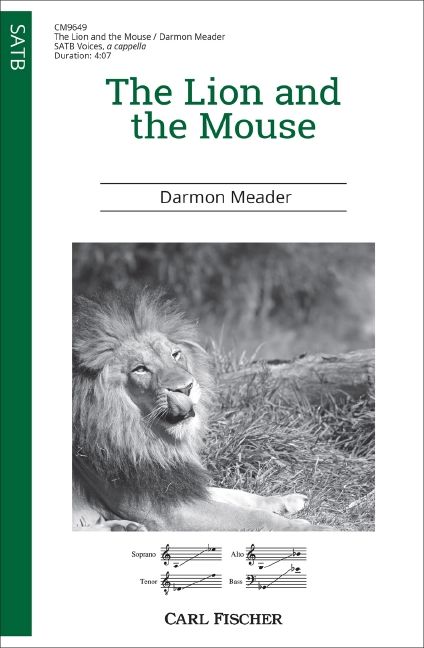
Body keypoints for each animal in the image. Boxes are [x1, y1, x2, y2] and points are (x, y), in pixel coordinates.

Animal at [72, 290, 320, 531]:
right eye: (140, 369)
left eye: (175, 354)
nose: (185, 388)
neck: (146, 438)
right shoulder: (165, 511)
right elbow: (254, 517)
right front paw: (315, 529)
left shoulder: (180, 485)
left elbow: (236, 494)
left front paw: (285, 500)